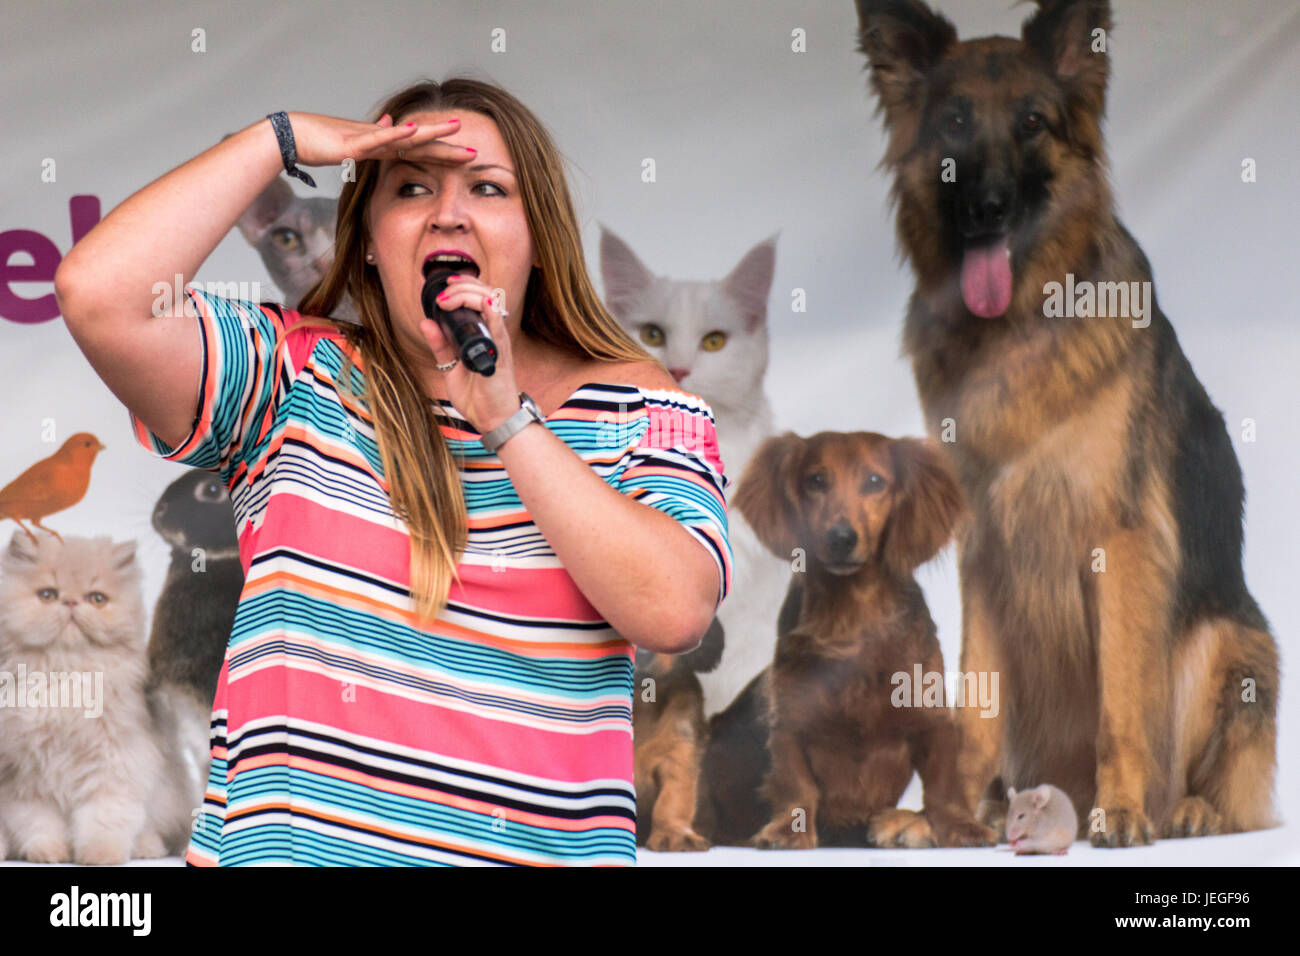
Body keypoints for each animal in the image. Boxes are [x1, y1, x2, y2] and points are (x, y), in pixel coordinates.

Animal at [0, 530, 189, 868]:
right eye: (47, 595)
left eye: (97, 599)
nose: (71, 602)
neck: (66, 676)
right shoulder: (23, 778)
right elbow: (39, 823)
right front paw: (50, 854)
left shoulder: (114, 765)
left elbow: (104, 819)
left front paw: (100, 856)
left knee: (152, 829)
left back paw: (146, 848)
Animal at [702, 429, 993, 848]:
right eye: (815, 481)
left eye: (874, 481)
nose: (841, 538)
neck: (852, 615)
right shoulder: (790, 721)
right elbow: (796, 784)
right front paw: (787, 832)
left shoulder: (932, 719)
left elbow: (944, 786)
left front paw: (961, 828)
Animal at [852, 1, 1279, 853]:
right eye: (953, 121)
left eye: (1031, 123)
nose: (987, 207)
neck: (1017, 326)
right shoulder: (985, 547)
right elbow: (973, 707)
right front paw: (946, 820)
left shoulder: (1119, 541)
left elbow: (1121, 699)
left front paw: (1124, 810)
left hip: (1231, 641)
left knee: (1221, 782)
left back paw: (1183, 809)